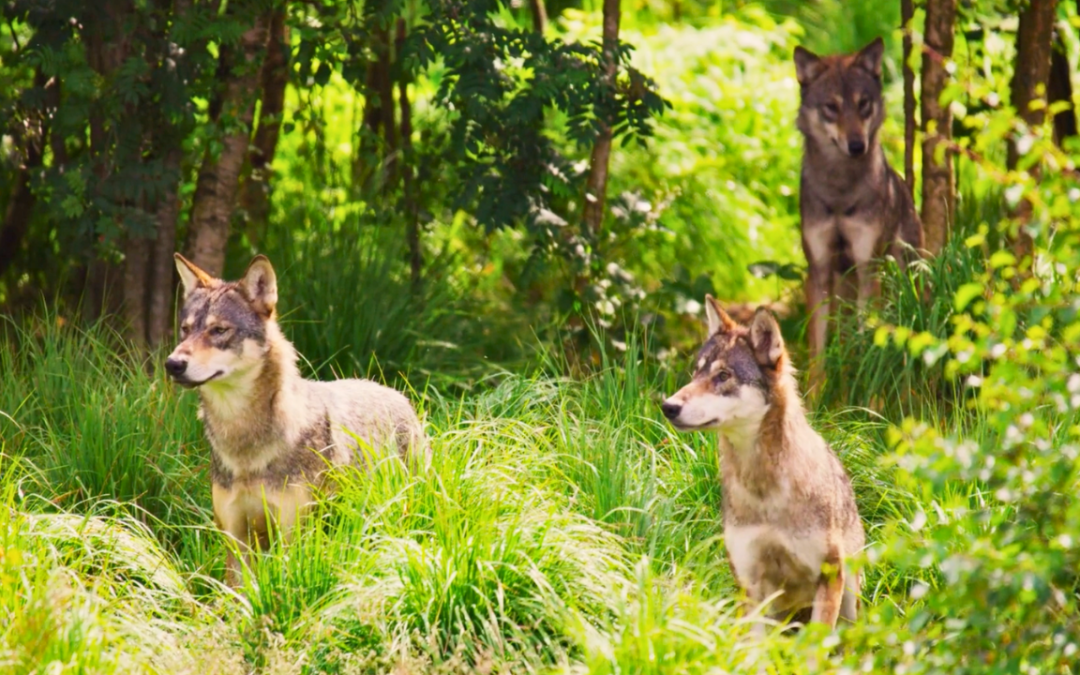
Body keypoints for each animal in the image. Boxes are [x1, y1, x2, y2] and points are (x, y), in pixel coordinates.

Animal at [165, 253, 426, 586]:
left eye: (219, 330)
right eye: (185, 330)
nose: (173, 364)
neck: (245, 444)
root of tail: (396, 393)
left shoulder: (292, 535)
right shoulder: (236, 539)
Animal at [661, 296, 865, 630]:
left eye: (723, 376)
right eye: (696, 373)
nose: (668, 406)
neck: (763, 487)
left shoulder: (828, 574)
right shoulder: (750, 584)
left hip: (848, 595)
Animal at [794, 37, 924, 390]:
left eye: (863, 103)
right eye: (832, 107)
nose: (856, 145)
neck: (840, 191)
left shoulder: (869, 268)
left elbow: (870, 345)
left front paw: (869, 396)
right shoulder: (818, 272)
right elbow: (818, 355)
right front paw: (814, 399)